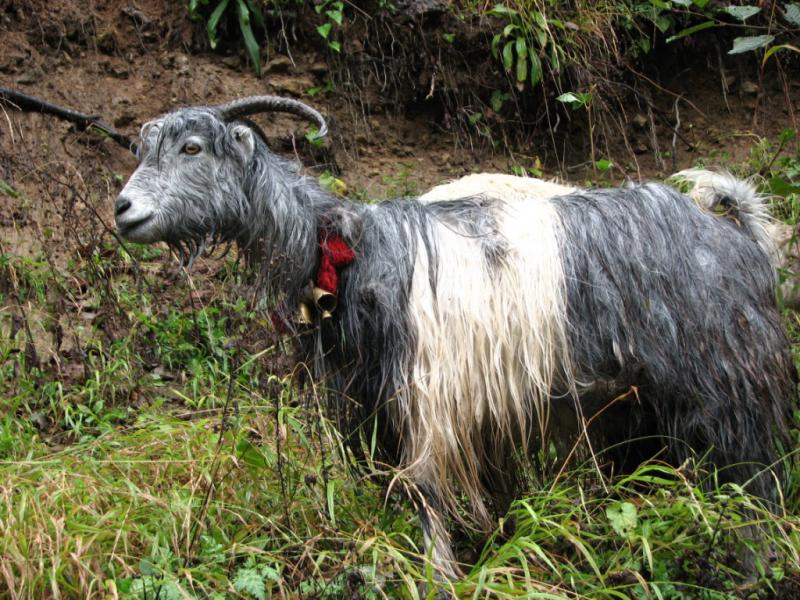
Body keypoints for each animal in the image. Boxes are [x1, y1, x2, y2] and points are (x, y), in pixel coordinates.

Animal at [115, 96, 796, 580]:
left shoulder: (429, 400)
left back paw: (751, 570)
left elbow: (426, 494)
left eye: (193, 147)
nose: (123, 210)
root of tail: (739, 233)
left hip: (726, 389)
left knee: (754, 490)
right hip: (640, 405)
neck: (350, 250)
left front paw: (440, 575)